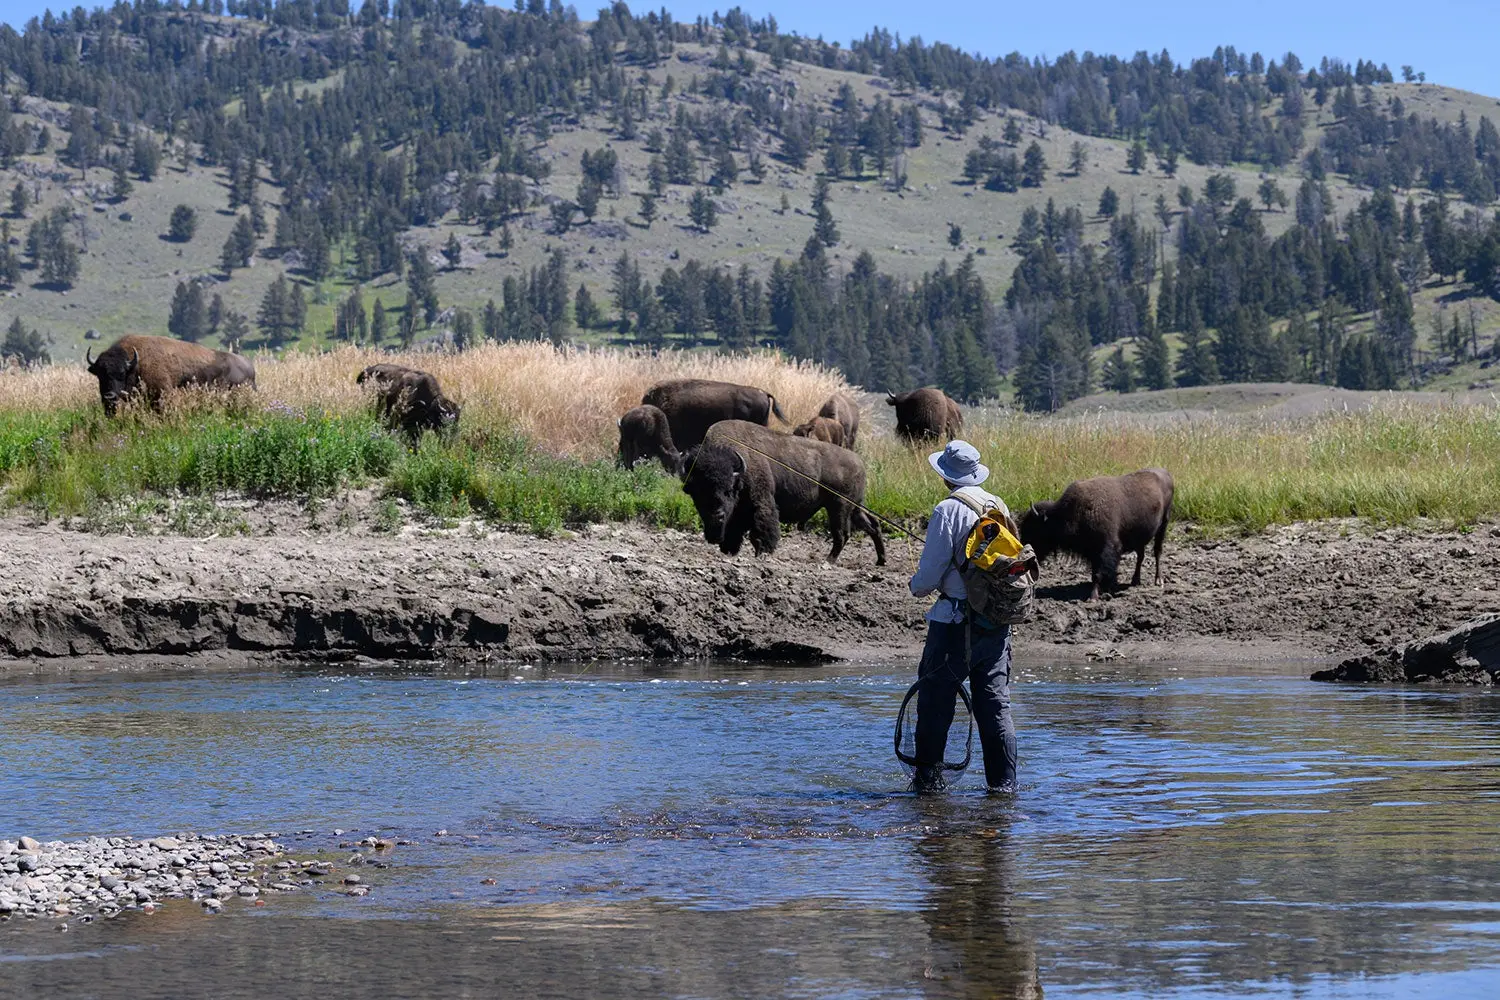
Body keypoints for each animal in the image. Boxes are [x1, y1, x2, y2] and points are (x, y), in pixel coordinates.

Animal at [693, 419, 888, 566]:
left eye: (728, 490)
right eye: (697, 493)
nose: (715, 515)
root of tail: (859, 462)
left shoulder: (762, 501)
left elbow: (761, 530)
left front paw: (762, 552)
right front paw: (729, 550)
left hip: (839, 507)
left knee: (842, 534)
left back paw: (828, 560)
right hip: (855, 508)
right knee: (873, 525)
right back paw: (881, 560)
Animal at [1014, 467, 1176, 599]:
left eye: (1034, 529)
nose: (1025, 550)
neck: (1070, 513)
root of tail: (1166, 473)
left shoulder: (1105, 549)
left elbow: (1099, 573)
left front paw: (1093, 597)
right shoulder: (1093, 552)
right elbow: (1096, 573)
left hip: (1164, 523)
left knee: (1157, 551)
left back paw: (1158, 580)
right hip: (1141, 537)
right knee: (1141, 556)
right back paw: (1135, 580)